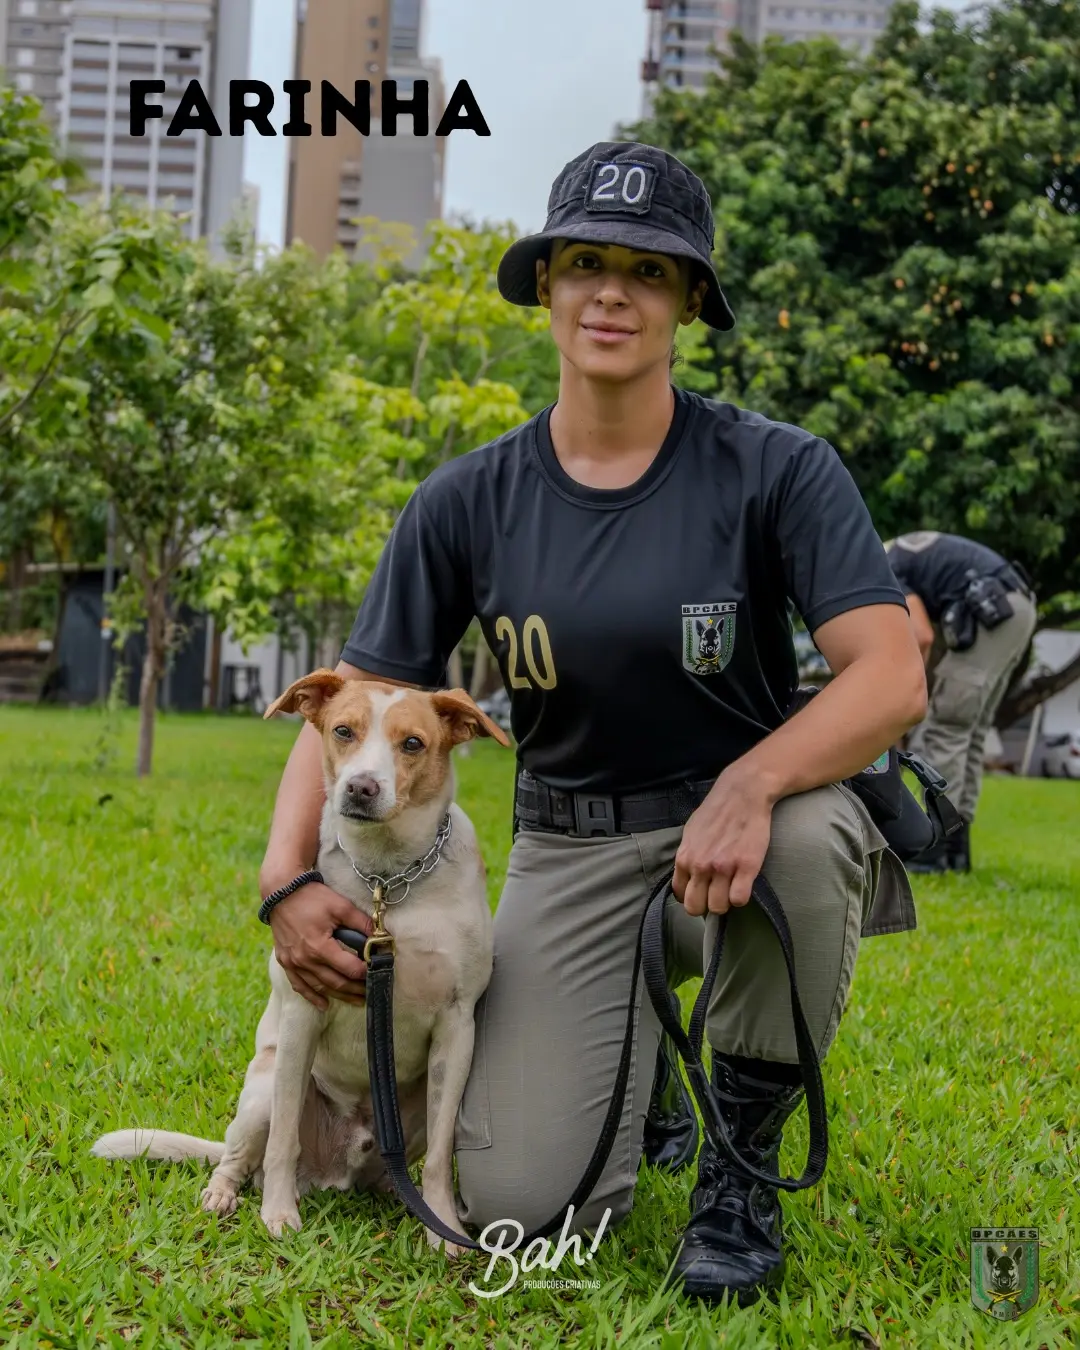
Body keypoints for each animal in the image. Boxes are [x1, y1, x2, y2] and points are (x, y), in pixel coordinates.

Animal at [92, 670, 509, 1255]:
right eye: (342, 731)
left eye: (413, 744)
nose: (360, 788)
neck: (387, 881)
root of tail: (338, 1169)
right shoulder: (301, 1014)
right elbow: (282, 1141)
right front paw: (277, 1214)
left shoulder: (457, 1027)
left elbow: (440, 1158)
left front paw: (442, 1227)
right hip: (263, 1087)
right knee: (241, 1155)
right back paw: (224, 1193)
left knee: (398, 1166)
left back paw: (399, 1198)